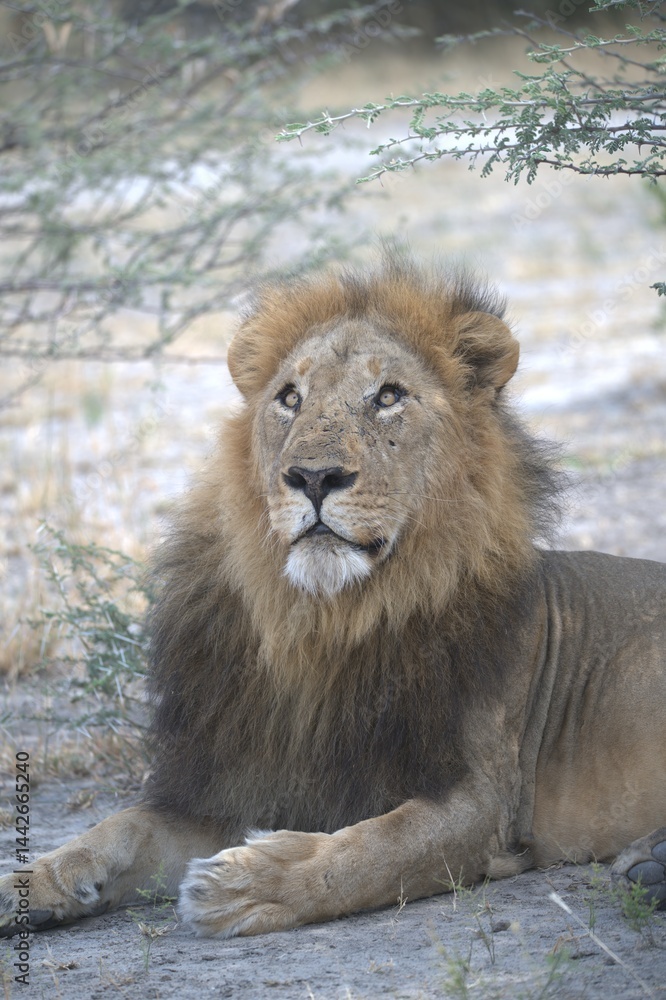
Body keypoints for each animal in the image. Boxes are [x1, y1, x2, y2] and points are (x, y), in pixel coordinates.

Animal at [1, 255, 665, 940]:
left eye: (389, 396)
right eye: (290, 398)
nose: (313, 477)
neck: (322, 623)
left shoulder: (487, 804)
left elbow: (373, 850)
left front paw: (248, 883)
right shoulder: (242, 779)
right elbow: (123, 826)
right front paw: (37, 880)